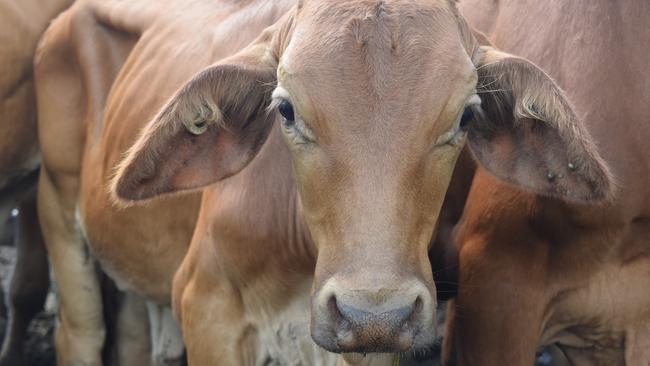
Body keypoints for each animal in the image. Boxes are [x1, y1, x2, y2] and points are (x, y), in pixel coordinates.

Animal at [35, 0, 612, 364]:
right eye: (286, 110)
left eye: (466, 116)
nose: (374, 313)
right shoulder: (207, 307)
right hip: (57, 213)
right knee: (79, 334)